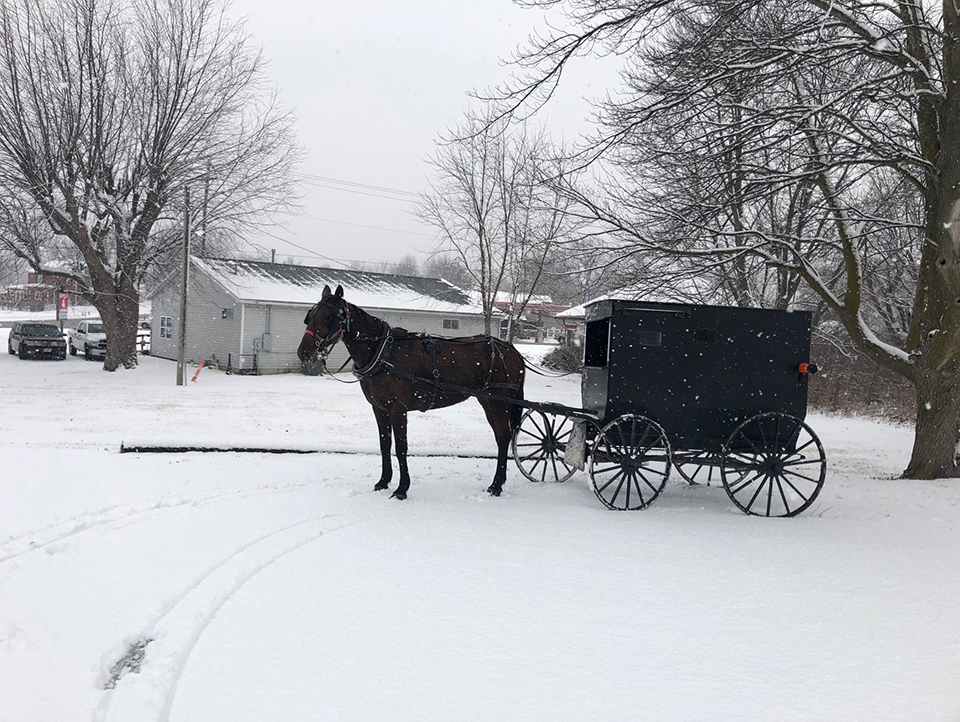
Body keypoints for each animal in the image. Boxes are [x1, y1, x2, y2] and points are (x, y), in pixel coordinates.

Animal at [298, 284, 528, 498]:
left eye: (328, 316)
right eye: (309, 316)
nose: (304, 352)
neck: (383, 352)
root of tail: (511, 349)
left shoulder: (398, 409)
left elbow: (401, 448)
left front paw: (402, 488)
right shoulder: (379, 409)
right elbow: (384, 445)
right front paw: (383, 481)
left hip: (499, 403)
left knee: (503, 437)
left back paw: (496, 485)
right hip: (487, 401)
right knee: (501, 437)